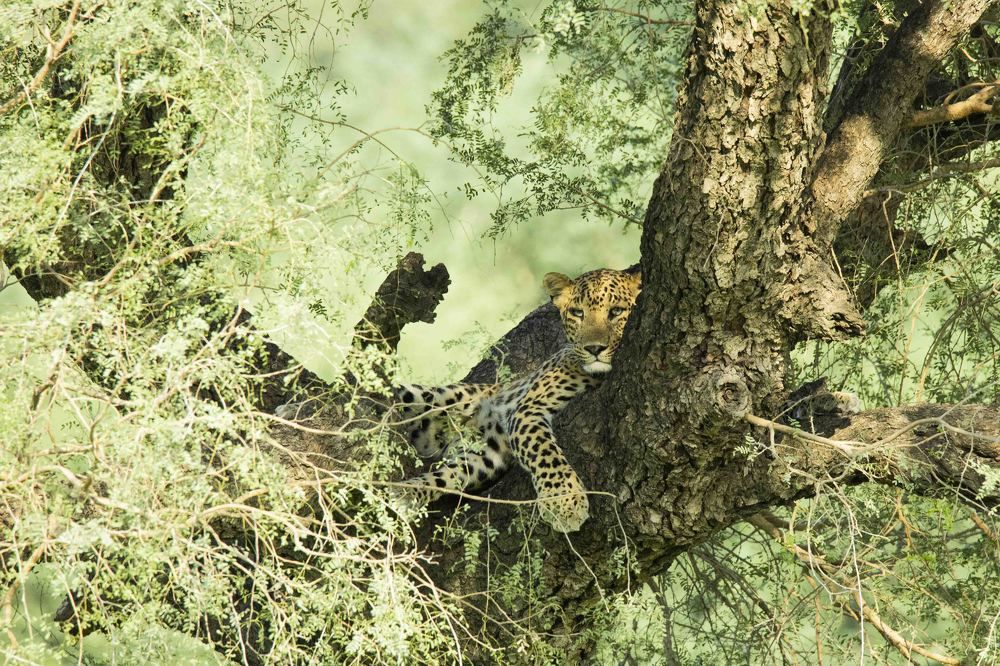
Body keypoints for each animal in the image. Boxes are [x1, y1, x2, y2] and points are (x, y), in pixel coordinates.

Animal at [394, 267, 641, 533]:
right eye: (578, 313)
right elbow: (545, 453)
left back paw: (403, 495)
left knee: (444, 475)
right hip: (430, 398)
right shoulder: (529, 408)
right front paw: (563, 502)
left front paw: (563, 502)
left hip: (485, 458)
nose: (594, 348)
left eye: (616, 311)